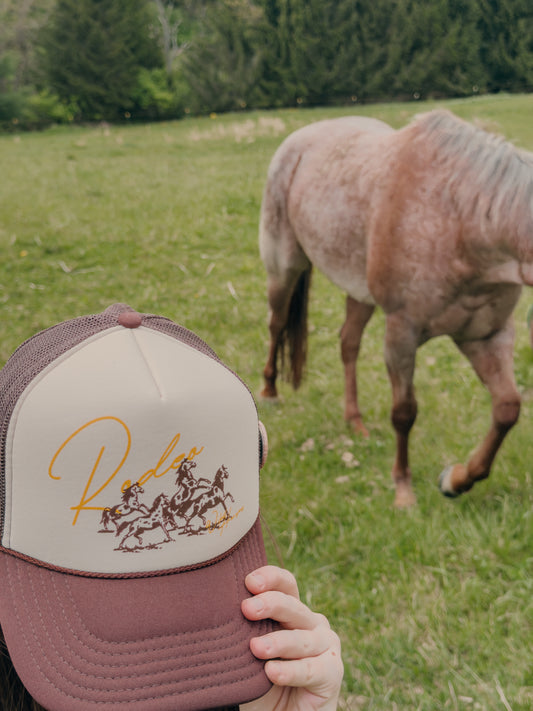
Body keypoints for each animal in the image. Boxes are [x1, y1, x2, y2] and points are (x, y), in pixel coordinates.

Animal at [259, 109, 533, 507]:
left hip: (358, 292)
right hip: (284, 268)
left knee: (348, 343)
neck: (462, 221)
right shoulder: (402, 334)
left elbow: (507, 408)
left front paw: (455, 480)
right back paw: (269, 393)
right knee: (277, 325)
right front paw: (404, 491)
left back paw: (354, 420)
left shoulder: (486, 335)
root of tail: (297, 140)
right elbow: (404, 413)